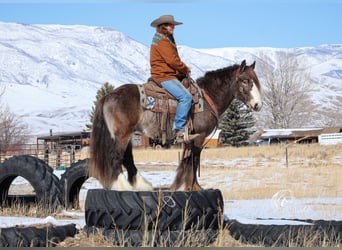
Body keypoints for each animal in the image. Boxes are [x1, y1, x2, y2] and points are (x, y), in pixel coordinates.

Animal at [88, 60, 262, 191]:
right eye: (245, 80)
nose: (258, 105)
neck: (207, 98)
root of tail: (108, 96)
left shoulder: (189, 139)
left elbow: (188, 160)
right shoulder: (198, 137)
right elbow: (193, 160)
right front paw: (193, 187)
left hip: (128, 135)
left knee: (127, 159)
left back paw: (141, 185)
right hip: (122, 135)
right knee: (116, 158)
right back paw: (123, 187)